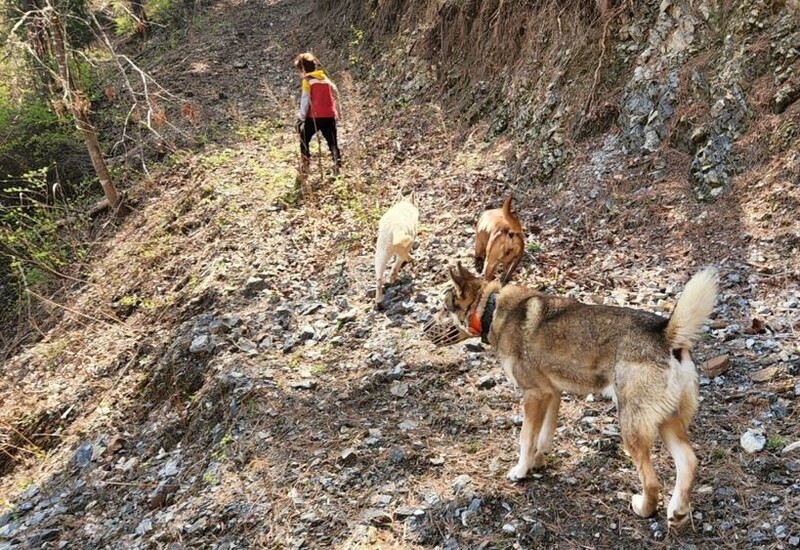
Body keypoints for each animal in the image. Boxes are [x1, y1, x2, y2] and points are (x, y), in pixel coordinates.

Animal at [424, 266, 720, 532]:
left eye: (443, 309)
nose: (423, 330)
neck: (491, 308)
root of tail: (666, 333)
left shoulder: (533, 395)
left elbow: (525, 439)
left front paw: (521, 471)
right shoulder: (552, 395)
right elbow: (543, 437)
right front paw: (538, 462)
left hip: (631, 428)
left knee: (652, 482)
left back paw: (643, 508)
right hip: (667, 424)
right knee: (689, 462)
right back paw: (677, 512)